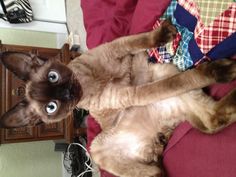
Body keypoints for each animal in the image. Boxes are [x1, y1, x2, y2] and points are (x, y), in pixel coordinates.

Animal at [0, 19, 236, 177]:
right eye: (51, 107)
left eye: (53, 76)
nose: (68, 93)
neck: (87, 82)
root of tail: (152, 136)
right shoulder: (135, 93)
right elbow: (185, 79)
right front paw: (217, 72)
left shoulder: (119, 46)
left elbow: (143, 40)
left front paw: (165, 33)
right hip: (96, 149)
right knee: (162, 166)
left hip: (163, 72)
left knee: (212, 119)